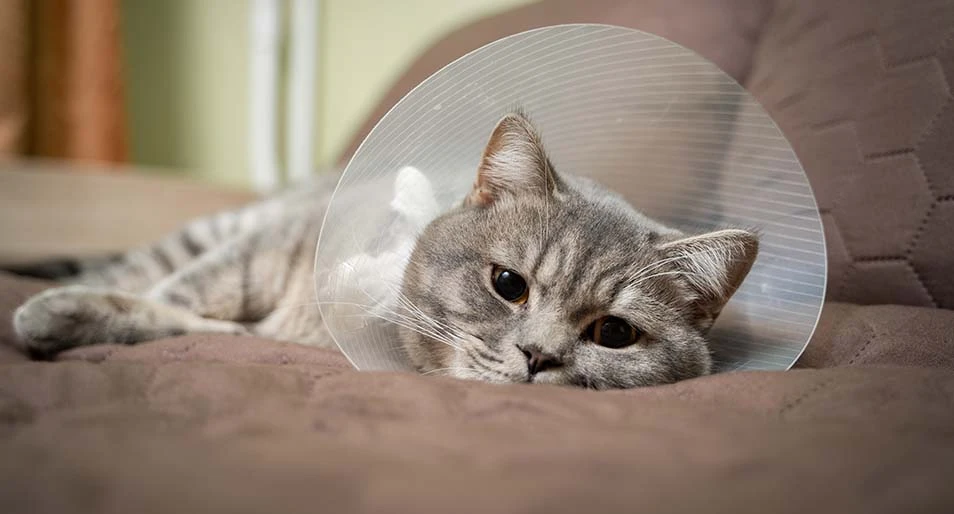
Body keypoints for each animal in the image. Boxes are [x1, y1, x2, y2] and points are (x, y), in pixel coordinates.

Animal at [11, 111, 756, 388]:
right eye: (508, 284)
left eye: (614, 334)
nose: (540, 357)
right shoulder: (254, 257)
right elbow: (171, 296)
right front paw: (65, 311)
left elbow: (185, 320)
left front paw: (68, 317)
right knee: (139, 267)